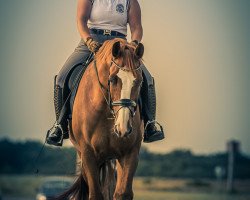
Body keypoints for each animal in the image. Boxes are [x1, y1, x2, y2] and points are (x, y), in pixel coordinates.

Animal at [59, 38, 145, 199]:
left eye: (139, 81)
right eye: (112, 79)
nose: (123, 128)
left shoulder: (130, 152)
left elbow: (122, 193)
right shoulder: (88, 154)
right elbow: (95, 194)